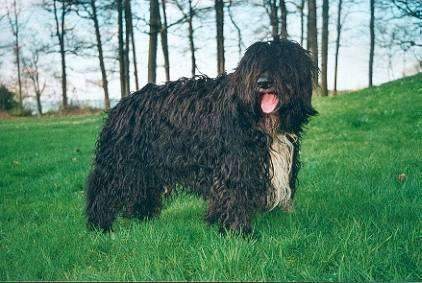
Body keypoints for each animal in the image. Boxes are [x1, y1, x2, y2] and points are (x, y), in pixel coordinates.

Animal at [86, 40, 316, 235]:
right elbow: (234, 194)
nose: (263, 82)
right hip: (121, 163)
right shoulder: (235, 163)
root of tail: (120, 105)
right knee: (103, 190)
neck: (256, 119)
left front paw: (216, 221)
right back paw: (99, 225)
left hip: (145, 166)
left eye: (282, 64)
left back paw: (143, 218)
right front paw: (238, 232)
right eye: (255, 66)